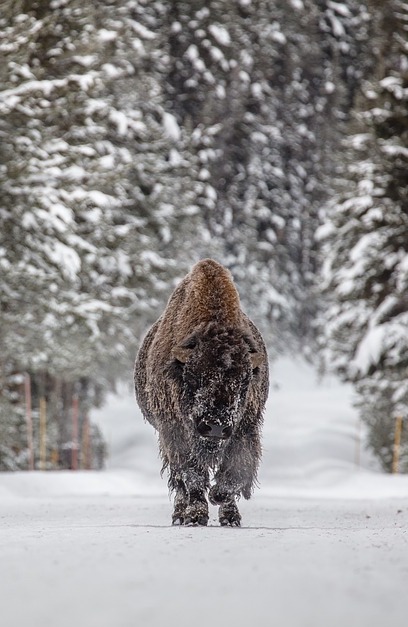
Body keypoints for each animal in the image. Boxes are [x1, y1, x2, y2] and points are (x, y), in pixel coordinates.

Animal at [133, 258, 268, 528]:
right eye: (194, 377)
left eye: (244, 381)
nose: (215, 426)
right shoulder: (174, 431)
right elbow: (191, 476)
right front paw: (196, 516)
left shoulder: (245, 428)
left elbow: (235, 472)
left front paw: (220, 500)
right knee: (179, 482)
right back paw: (180, 515)